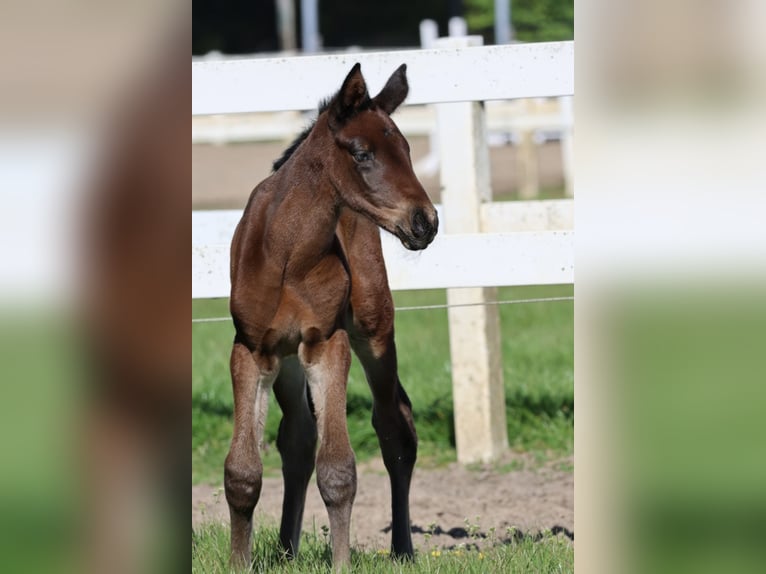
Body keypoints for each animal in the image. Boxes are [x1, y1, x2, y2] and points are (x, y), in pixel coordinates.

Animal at [224, 64, 438, 572]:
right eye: (362, 153)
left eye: (407, 151)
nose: (426, 221)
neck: (286, 253)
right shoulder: (251, 348)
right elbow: (243, 471)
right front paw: (240, 562)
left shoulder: (327, 342)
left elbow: (338, 469)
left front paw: (341, 564)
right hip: (286, 359)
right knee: (298, 438)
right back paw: (286, 549)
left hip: (375, 330)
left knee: (395, 428)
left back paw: (402, 550)